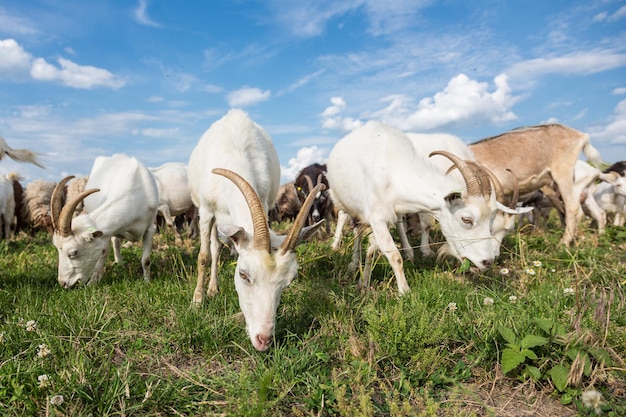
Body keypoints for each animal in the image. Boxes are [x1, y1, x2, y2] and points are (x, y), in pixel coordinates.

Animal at [51, 154, 158, 288]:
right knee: (115, 242)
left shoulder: (150, 228)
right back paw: (119, 263)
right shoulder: (106, 233)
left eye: (73, 253)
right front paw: (92, 283)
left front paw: (147, 282)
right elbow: (103, 252)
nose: (63, 283)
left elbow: (146, 260)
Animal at [185, 108, 322, 352]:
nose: (264, 339)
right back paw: (211, 289)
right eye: (243, 275)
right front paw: (197, 301)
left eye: (290, 281)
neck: (236, 156)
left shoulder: (266, 202)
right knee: (214, 248)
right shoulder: (206, 210)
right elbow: (202, 256)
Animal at [324, 120, 520, 292]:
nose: (488, 261)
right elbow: (394, 255)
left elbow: (374, 248)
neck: (393, 171)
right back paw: (349, 258)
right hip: (345, 203)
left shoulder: (384, 217)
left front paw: (364, 282)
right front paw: (404, 291)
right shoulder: (376, 217)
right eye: (466, 219)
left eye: (491, 222)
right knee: (351, 224)